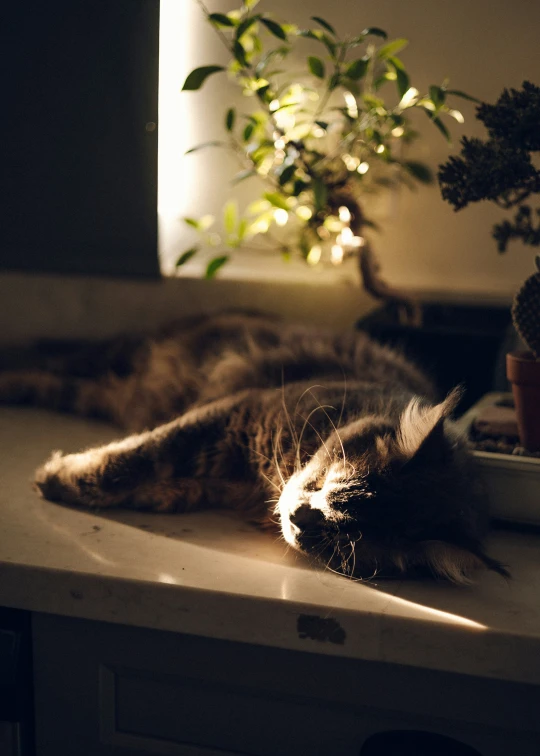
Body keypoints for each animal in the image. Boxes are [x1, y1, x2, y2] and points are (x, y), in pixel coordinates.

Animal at [0, 310, 506, 580]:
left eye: (341, 541)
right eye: (327, 481)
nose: (298, 517)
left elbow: (162, 470)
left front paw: (162, 492)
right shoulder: (234, 412)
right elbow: (139, 454)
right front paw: (58, 477)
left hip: (101, 391)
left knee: (55, 381)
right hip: (115, 358)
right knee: (52, 359)